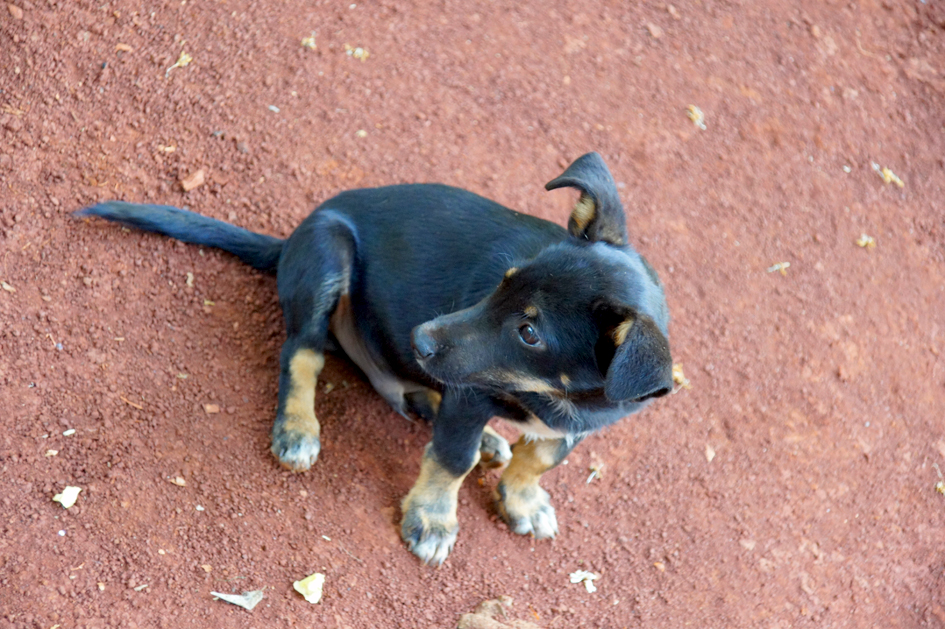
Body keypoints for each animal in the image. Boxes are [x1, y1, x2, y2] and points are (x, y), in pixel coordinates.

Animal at [79, 152, 672, 564]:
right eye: (503, 282)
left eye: (529, 332)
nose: (419, 339)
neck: (553, 395)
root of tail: (290, 240)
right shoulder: (470, 393)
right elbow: (451, 459)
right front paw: (433, 521)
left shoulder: (575, 420)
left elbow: (543, 457)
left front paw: (523, 499)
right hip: (327, 256)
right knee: (303, 354)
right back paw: (298, 427)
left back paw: (480, 433)